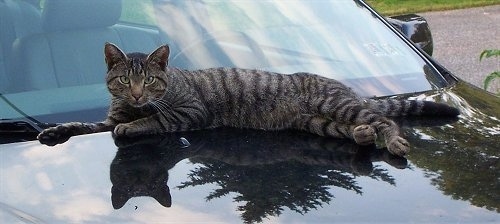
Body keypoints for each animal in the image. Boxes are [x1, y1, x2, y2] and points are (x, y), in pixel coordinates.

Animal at [38, 43, 460, 156]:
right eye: (125, 79)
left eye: (151, 81)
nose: (139, 94)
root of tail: (347, 87)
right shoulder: (106, 118)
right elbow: (83, 124)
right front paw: (56, 130)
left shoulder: (189, 112)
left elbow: (153, 120)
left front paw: (134, 125)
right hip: (320, 122)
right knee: (358, 128)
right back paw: (361, 136)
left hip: (335, 105)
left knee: (387, 120)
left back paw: (394, 141)